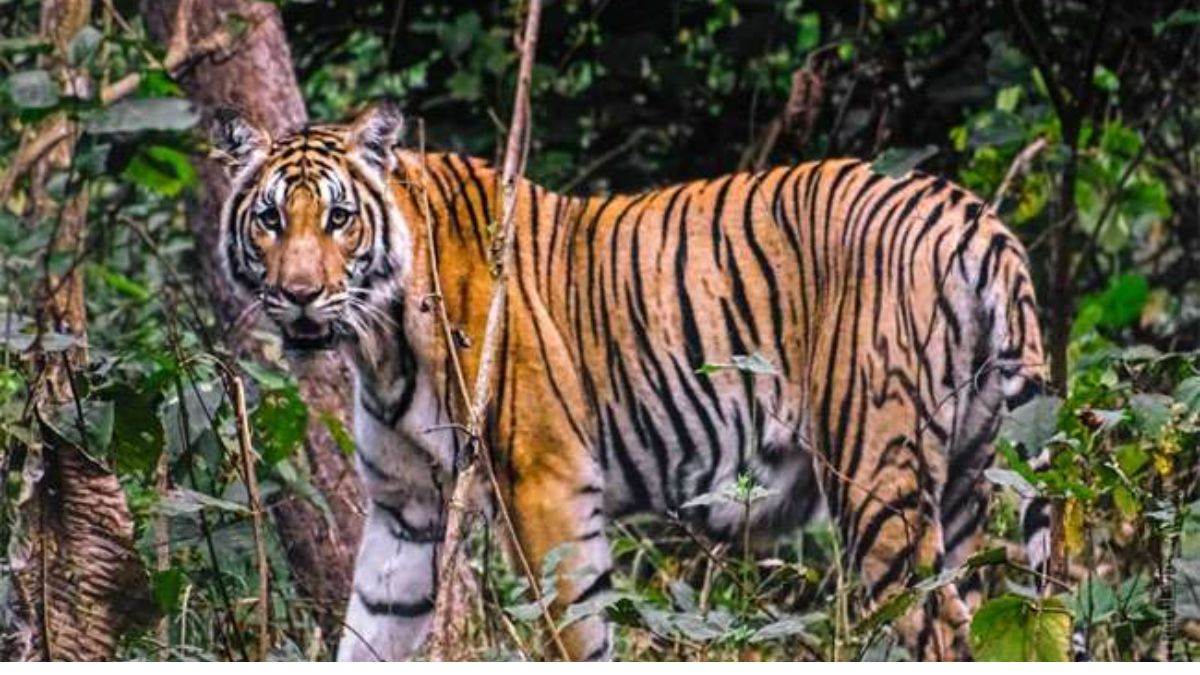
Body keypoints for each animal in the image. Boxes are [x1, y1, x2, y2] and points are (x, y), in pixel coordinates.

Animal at [211, 101, 1050, 661]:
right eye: (271, 220)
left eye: (340, 218)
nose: (299, 294)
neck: (379, 342)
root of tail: (970, 211)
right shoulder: (405, 509)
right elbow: (372, 629)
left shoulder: (544, 482)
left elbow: (575, 631)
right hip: (966, 479)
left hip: (876, 476)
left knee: (940, 628)